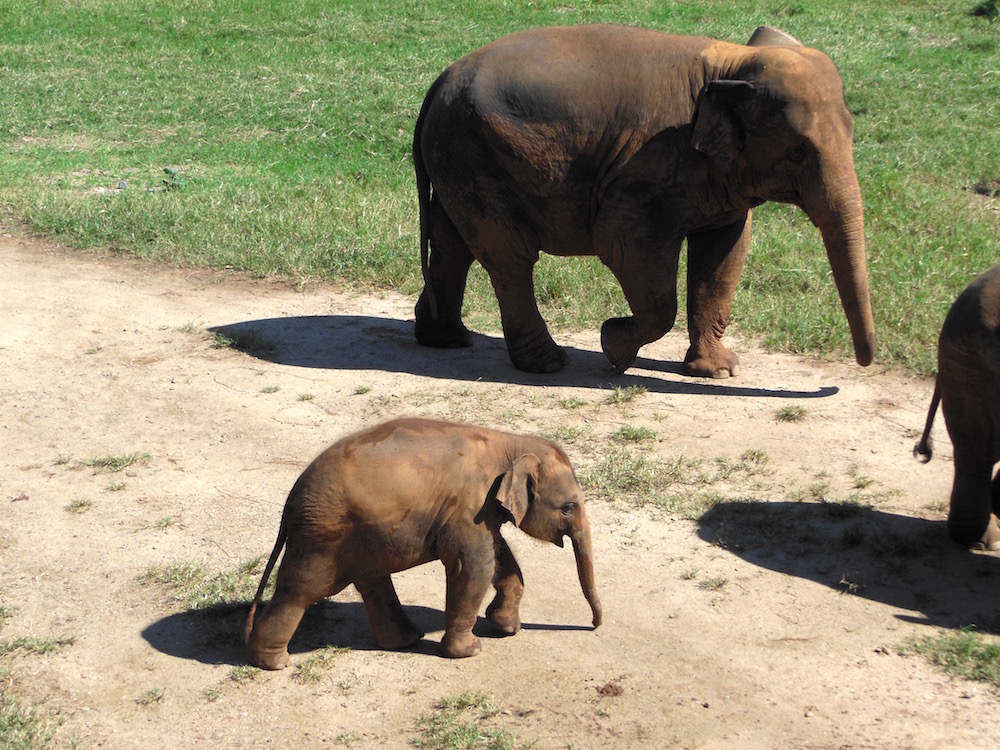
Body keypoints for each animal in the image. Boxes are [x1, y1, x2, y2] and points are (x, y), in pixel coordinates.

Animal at [246, 418, 600, 668]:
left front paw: (507, 628)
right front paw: (471, 650)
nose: (594, 626)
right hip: (322, 537)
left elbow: (500, 557)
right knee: (300, 591)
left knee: (372, 582)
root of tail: (290, 502)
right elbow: (475, 566)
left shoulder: (481, 510)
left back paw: (405, 640)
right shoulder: (468, 507)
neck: (509, 443)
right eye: (569, 507)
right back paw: (275, 663)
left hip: (358, 534)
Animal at [410, 25, 872, 378]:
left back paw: (446, 340)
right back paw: (547, 363)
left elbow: (723, 255)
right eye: (797, 152)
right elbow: (625, 245)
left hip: (458, 157)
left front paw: (719, 371)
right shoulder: (648, 168)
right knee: (508, 255)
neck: (732, 62)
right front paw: (613, 348)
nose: (863, 364)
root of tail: (438, 84)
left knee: (453, 243)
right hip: (474, 154)